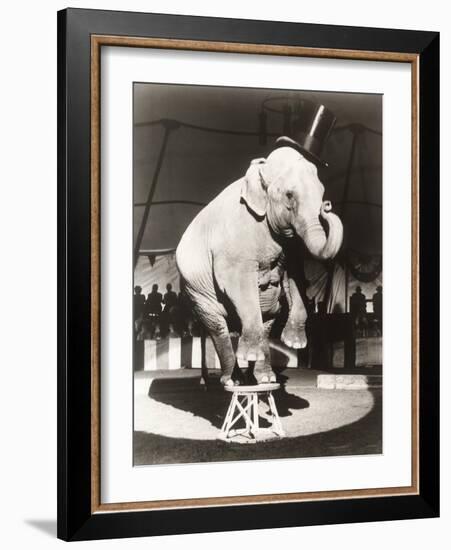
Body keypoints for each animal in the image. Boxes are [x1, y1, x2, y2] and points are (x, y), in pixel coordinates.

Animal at [176, 147, 342, 388]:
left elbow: (296, 275)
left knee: (267, 317)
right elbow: (238, 282)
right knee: (218, 327)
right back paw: (232, 381)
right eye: (289, 195)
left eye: (321, 194)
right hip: (196, 294)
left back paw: (262, 378)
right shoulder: (234, 243)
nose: (327, 206)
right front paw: (253, 357)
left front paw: (294, 344)